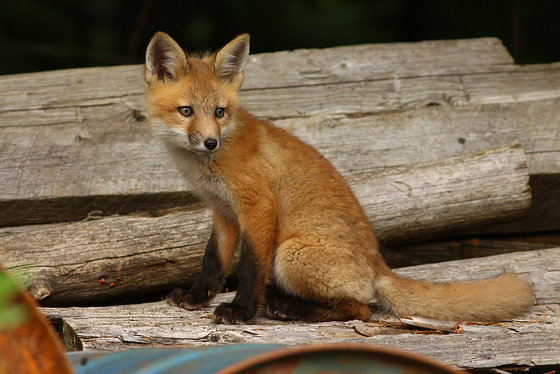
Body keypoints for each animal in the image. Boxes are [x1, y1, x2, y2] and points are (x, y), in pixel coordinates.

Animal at [144, 32, 532, 324]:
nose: (210, 142)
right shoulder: (224, 211)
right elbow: (214, 261)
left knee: (360, 310)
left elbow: (250, 267)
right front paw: (196, 296)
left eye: (220, 112)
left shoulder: (258, 208)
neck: (209, 165)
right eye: (186, 111)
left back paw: (289, 308)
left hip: (289, 255)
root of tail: (379, 267)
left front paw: (241, 311)